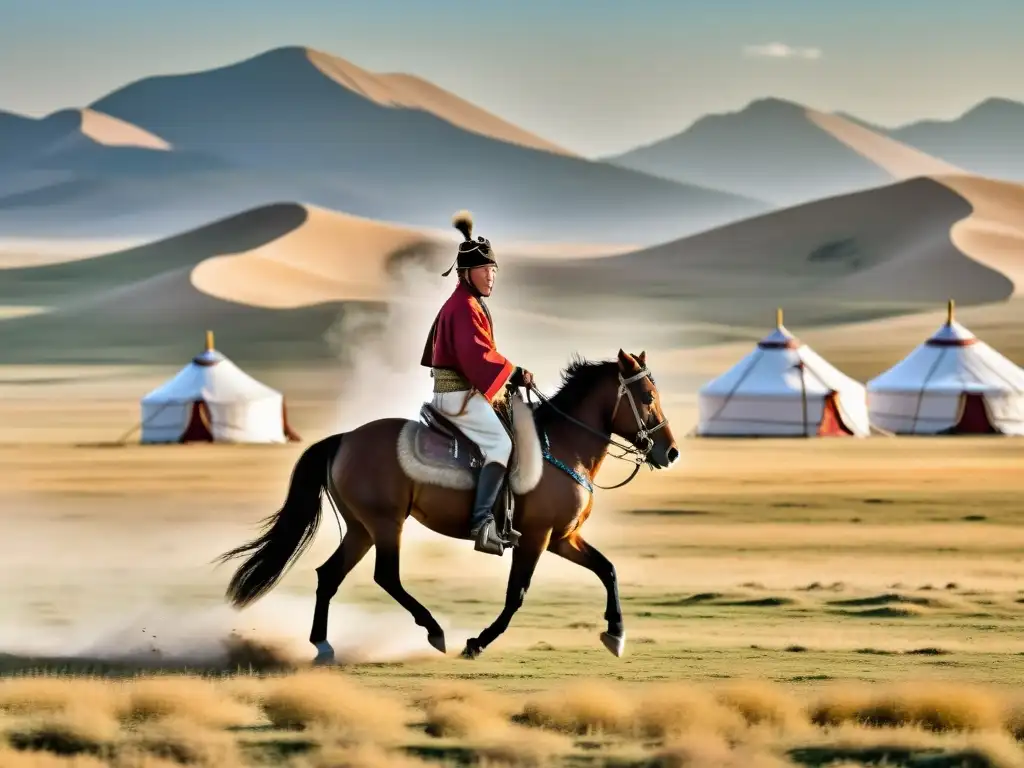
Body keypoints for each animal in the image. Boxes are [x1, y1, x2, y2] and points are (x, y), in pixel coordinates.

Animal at [217, 348, 679, 663]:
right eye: (646, 395)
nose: (670, 452)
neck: (563, 446)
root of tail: (345, 438)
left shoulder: (562, 538)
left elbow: (608, 569)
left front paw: (616, 634)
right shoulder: (536, 537)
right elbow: (517, 594)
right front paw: (476, 643)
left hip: (362, 528)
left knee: (329, 575)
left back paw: (323, 645)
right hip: (386, 524)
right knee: (386, 576)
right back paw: (434, 631)